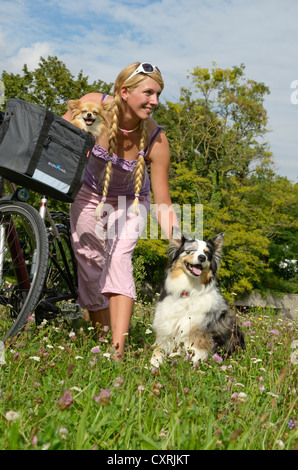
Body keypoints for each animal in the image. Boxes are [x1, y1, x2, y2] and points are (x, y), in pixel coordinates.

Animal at [150, 231, 246, 368]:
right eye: (191, 250)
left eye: (207, 253)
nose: (202, 258)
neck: (188, 290)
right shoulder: (165, 327)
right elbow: (159, 349)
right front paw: (155, 362)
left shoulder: (197, 332)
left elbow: (195, 354)